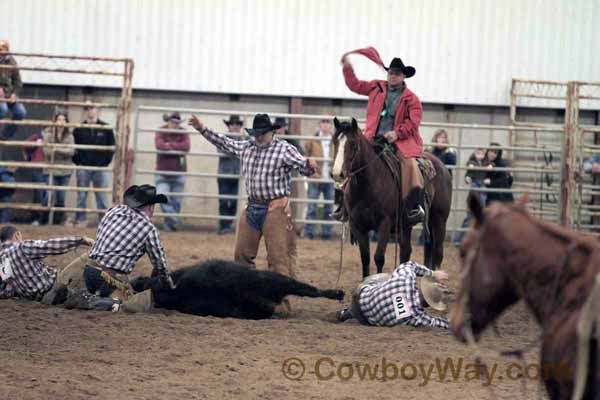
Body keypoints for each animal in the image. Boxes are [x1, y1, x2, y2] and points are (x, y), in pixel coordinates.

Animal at [332, 116, 450, 278]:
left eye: (354, 145)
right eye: (334, 141)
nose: (337, 173)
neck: (367, 186)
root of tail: (441, 165)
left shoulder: (385, 224)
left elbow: (379, 257)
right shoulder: (357, 225)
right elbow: (365, 258)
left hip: (439, 219)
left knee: (438, 251)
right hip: (407, 225)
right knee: (410, 251)